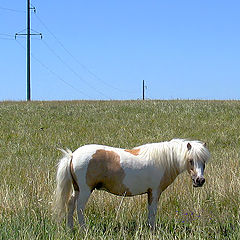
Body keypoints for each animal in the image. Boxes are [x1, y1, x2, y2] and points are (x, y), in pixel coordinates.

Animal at [53, 139, 210, 229]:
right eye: (191, 160)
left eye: (204, 161)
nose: (200, 180)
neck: (164, 160)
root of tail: (72, 155)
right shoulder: (154, 191)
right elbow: (153, 211)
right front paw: (152, 230)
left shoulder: (150, 192)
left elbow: (150, 211)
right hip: (85, 190)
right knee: (79, 208)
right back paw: (83, 229)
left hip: (77, 189)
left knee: (70, 205)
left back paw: (70, 229)